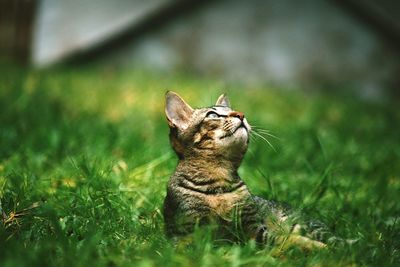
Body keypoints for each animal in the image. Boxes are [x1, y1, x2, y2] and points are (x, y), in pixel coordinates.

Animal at [162, 92, 328, 251]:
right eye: (212, 115)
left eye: (233, 110)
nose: (241, 114)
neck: (220, 183)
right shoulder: (196, 230)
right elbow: (285, 240)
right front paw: (319, 248)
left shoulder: (253, 227)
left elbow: (286, 238)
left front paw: (321, 248)